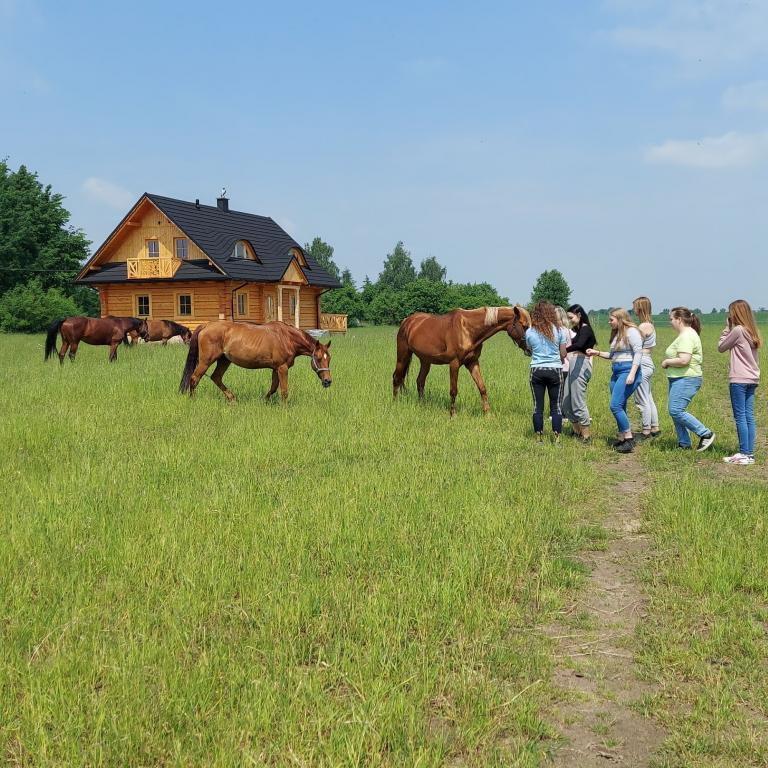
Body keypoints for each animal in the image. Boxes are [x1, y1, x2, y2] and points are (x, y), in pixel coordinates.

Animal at [182, 320, 334, 402]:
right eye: (318, 358)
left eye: (329, 359)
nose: (327, 381)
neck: (287, 338)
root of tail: (206, 325)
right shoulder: (282, 368)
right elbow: (284, 391)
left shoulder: (276, 369)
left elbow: (273, 388)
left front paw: (264, 401)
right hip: (206, 361)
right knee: (194, 378)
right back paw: (193, 400)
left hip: (224, 360)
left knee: (216, 377)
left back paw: (232, 399)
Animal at [392, 304, 532, 414]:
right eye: (524, 326)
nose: (530, 350)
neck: (468, 329)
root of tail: (407, 321)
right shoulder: (454, 363)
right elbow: (453, 390)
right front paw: (452, 414)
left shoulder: (472, 362)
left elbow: (482, 387)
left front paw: (488, 414)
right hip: (403, 355)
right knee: (397, 378)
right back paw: (395, 403)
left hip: (425, 360)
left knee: (420, 381)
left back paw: (422, 405)